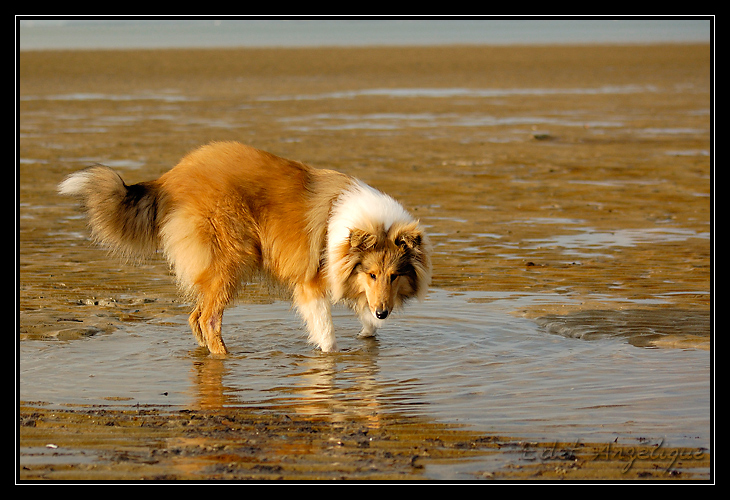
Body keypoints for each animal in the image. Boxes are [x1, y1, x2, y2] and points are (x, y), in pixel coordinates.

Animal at [59, 142, 432, 356]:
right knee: (208, 318)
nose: (384, 312)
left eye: (395, 275)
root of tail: (168, 179)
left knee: (195, 316)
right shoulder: (311, 282)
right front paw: (331, 356)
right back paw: (225, 356)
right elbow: (326, 332)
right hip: (232, 257)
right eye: (372, 273)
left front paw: (369, 331)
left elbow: (363, 317)